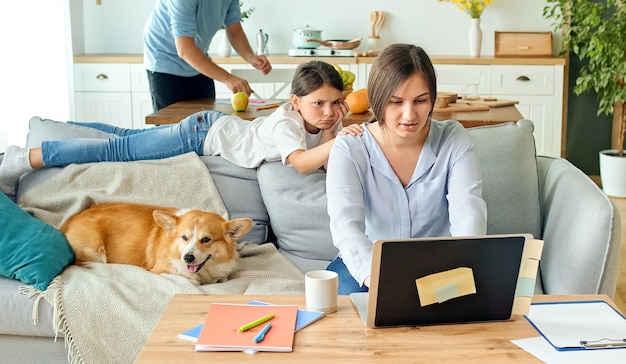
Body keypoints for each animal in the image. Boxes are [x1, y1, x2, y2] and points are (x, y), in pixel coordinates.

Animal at [59, 202, 251, 284]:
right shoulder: (164, 270)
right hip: (95, 250)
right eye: (184, 237)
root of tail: (72, 218)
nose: (187, 258)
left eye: (206, 239)